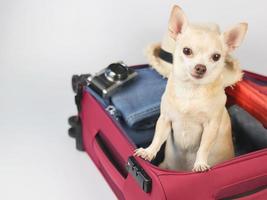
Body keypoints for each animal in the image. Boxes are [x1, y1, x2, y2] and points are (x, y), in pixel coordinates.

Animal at [135, 5, 248, 172]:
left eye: (216, 57)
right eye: (187, 51)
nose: (201, 67)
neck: (191, 90)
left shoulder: (210, 127)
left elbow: (203, 147)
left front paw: (200, 163)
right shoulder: (165, 120)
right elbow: (157, 138)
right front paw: (148, 152)